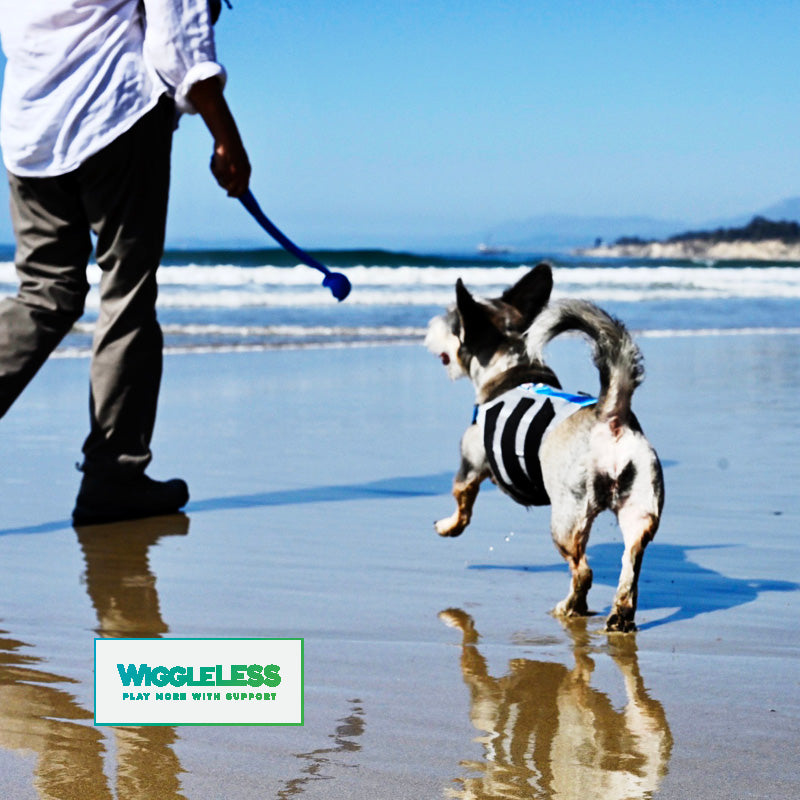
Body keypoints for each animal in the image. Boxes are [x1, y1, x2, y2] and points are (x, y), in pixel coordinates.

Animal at [424, 262, 664, 632]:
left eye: (451, 321)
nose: (429, 325)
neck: (510, 366)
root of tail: (610, 415)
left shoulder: (469, 467)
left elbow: (462, 504)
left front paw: (448, 526)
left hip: (567, 519)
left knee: (583, 571)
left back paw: (569, 608)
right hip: (639, 509)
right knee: (630, 565)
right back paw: (619, 616)